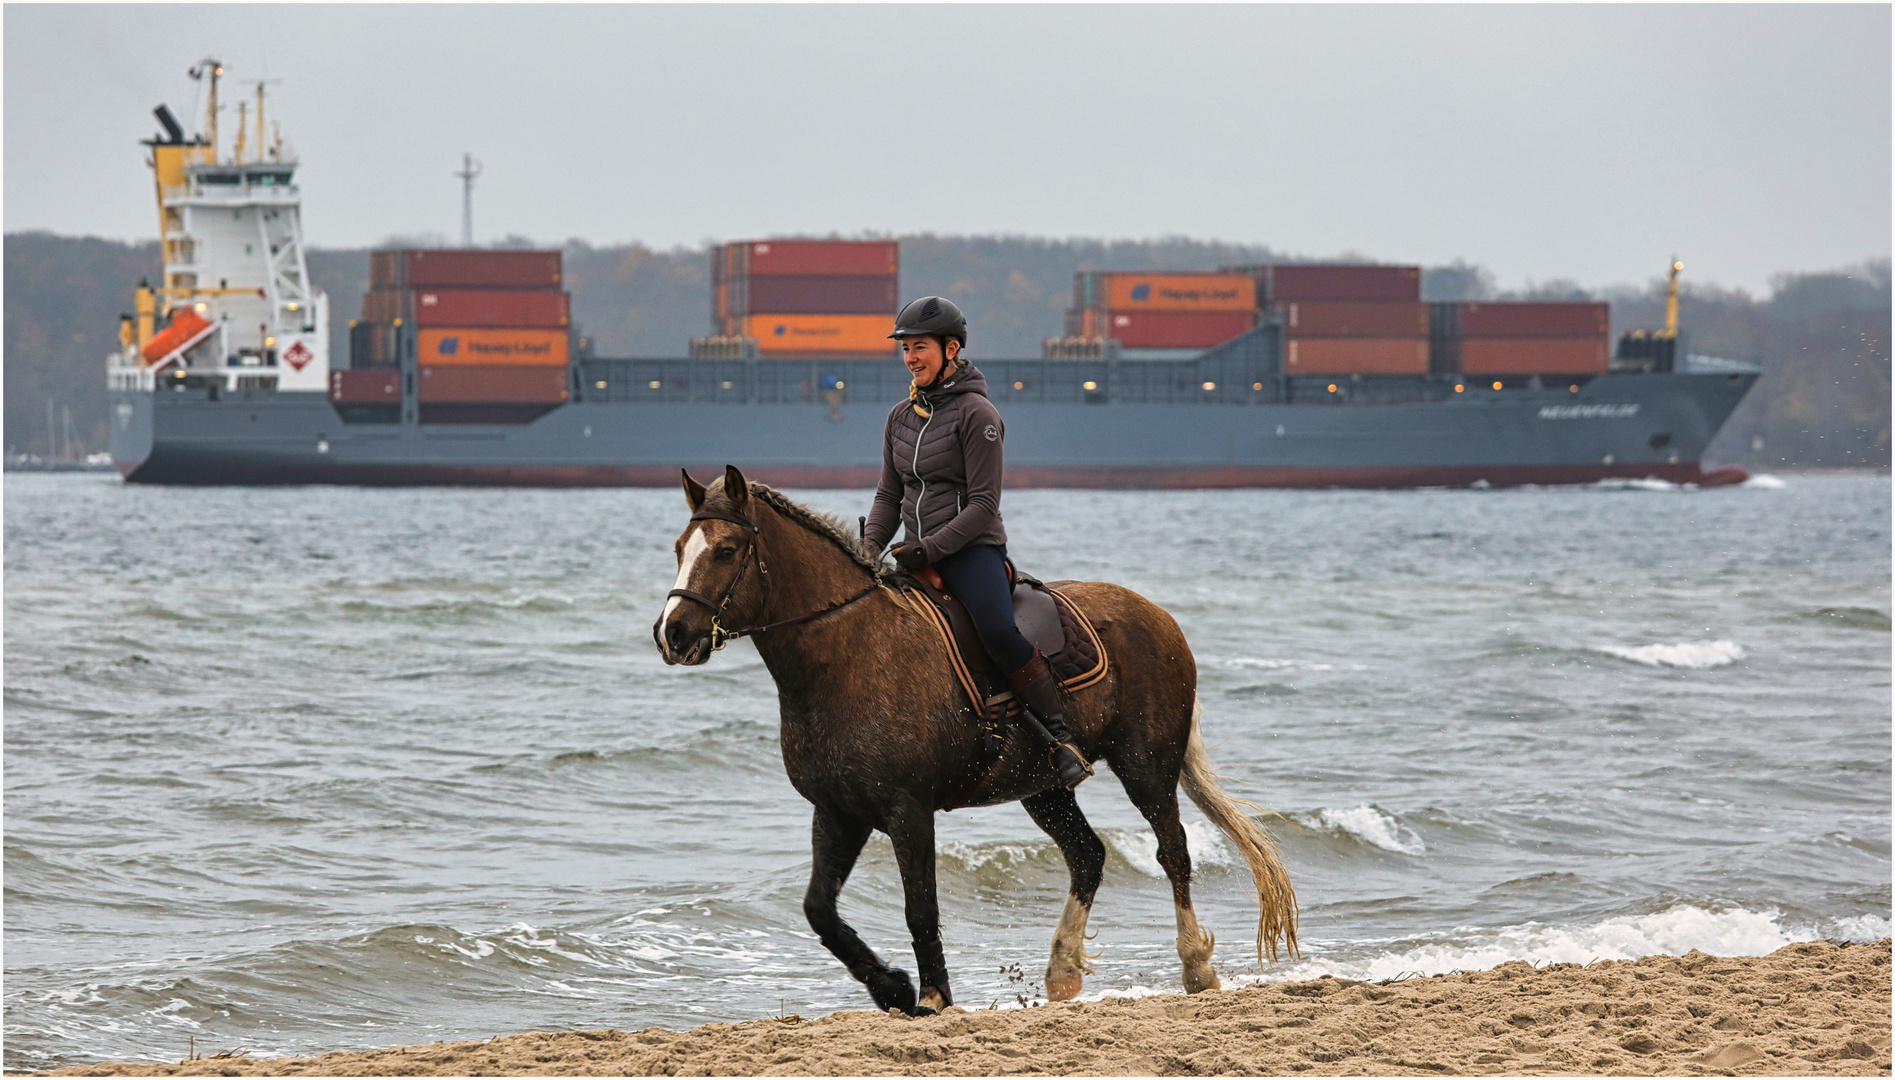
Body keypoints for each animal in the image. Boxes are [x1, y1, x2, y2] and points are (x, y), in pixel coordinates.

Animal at [659, 466, 1296, 1015]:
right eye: (679, 548)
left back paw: (1195, 968)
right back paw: (1062, 971)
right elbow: (819, 910)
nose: (673, 634)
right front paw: (892, 986)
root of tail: (1159, 616)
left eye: (725, 551)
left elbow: (921, 908)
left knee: (1173, 852)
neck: (847, 649)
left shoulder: (908, 810)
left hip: (1145, 766)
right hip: (1044, 787)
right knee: (1088, 855)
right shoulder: (838, 810)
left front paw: (932, 997)